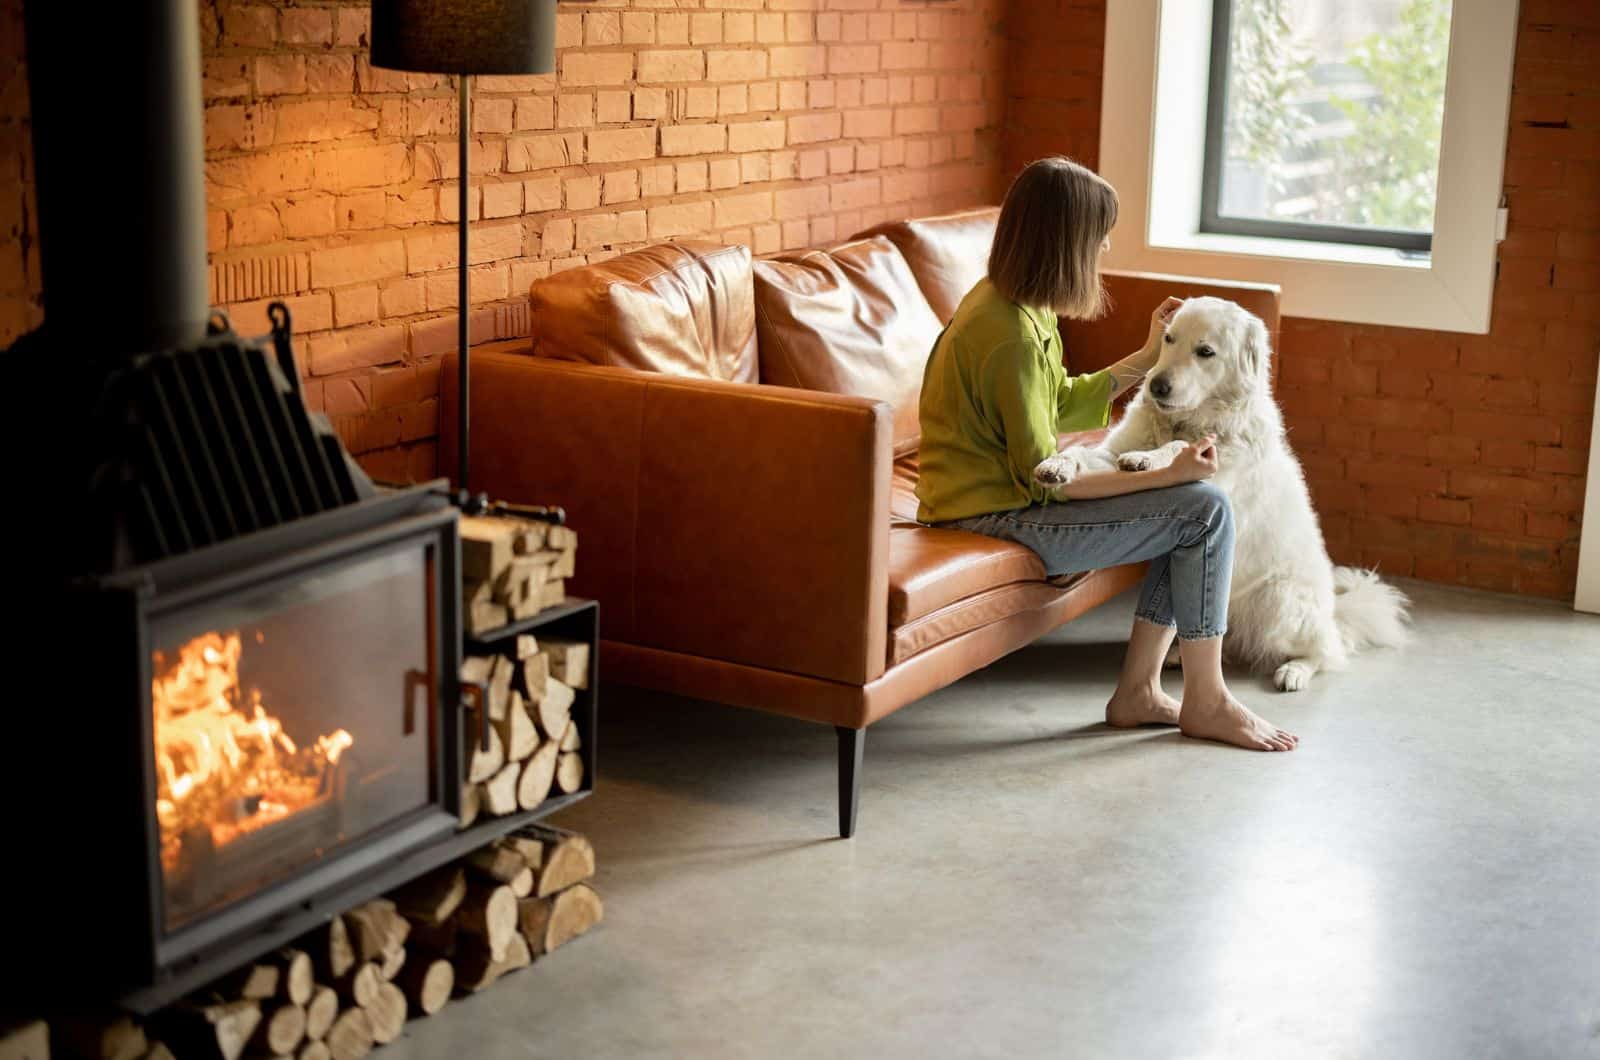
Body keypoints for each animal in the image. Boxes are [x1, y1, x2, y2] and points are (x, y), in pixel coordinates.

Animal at [1030, 299, 1408, 694]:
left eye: (1205, 352)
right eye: (1168, 338)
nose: (1156, 386)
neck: (1188, 421)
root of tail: (1335, 615)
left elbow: (1176, 448)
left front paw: (1149, 459)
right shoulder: (1109, 452)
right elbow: (1084, 453)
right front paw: (1055, 465)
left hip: (1280, 602)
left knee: (1327, 652)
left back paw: (1295, 671)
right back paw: (1180, 655)